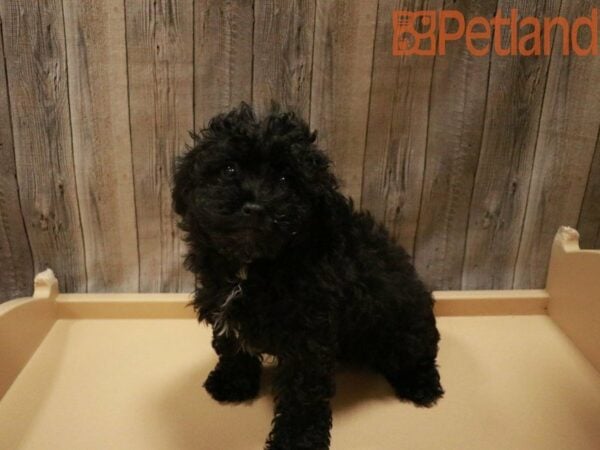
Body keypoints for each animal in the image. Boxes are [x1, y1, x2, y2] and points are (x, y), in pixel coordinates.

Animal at [171, 103, 442, 448]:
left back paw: (421, 385)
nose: (255, 207)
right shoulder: (222, 303)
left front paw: (296, 440)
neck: (254, 265)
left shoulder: (308, 337)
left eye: (287, 179)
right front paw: (232, 383)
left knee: (418, 353)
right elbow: (231, 345)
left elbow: (302, 395)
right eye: (229, 169)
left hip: (404, 328)